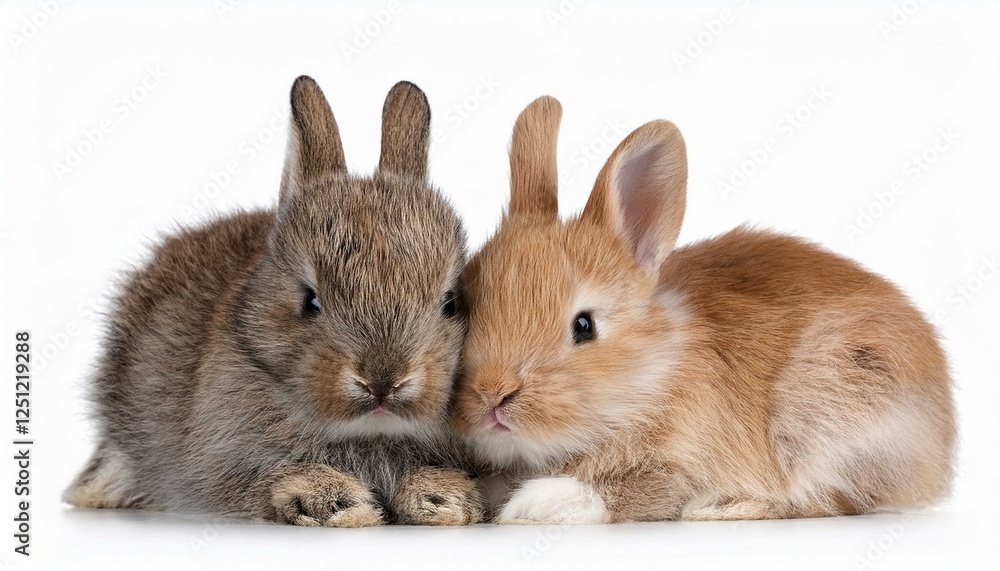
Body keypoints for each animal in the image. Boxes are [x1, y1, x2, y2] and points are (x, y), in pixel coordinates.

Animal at [63, 76, 484, 527]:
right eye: (310, 300)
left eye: (449, 302)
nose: (383, 382)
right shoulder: (220, 464)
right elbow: (261, 485)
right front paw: (338, 504)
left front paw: (445, 498)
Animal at [451, 96, 956, 524]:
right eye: (466, 305)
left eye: (584, 325)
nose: (492, 393)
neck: (651, 372)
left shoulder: (680, 460)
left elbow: (627, 491)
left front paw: (536, 505)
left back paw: (722, 508)